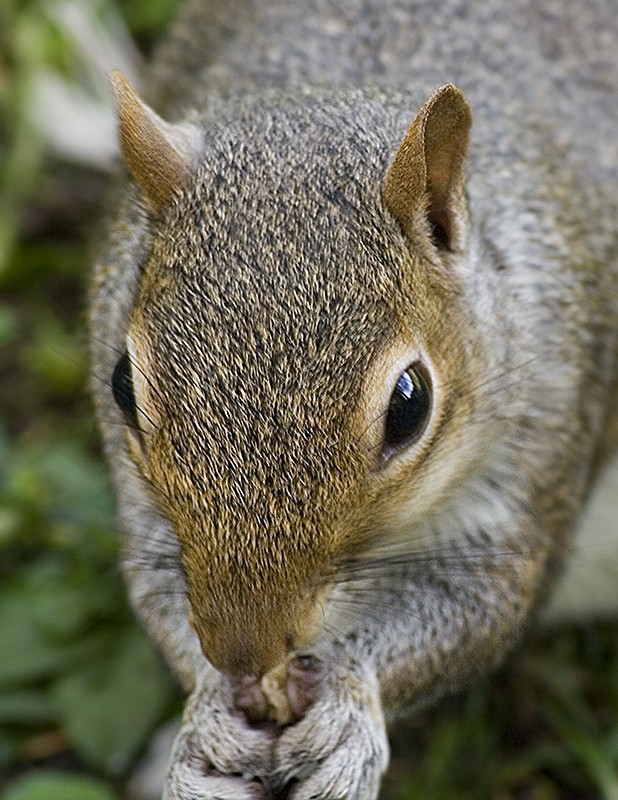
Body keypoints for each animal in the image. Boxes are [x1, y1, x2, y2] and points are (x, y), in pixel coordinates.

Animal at [88, 3, 616, 796]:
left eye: (409, 407)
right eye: (123, 385)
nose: (241, 652)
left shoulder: (541, 448)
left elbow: (480, 609)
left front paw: (346, 705)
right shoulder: (143, 511)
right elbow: (154, 588)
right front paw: (205, 720)